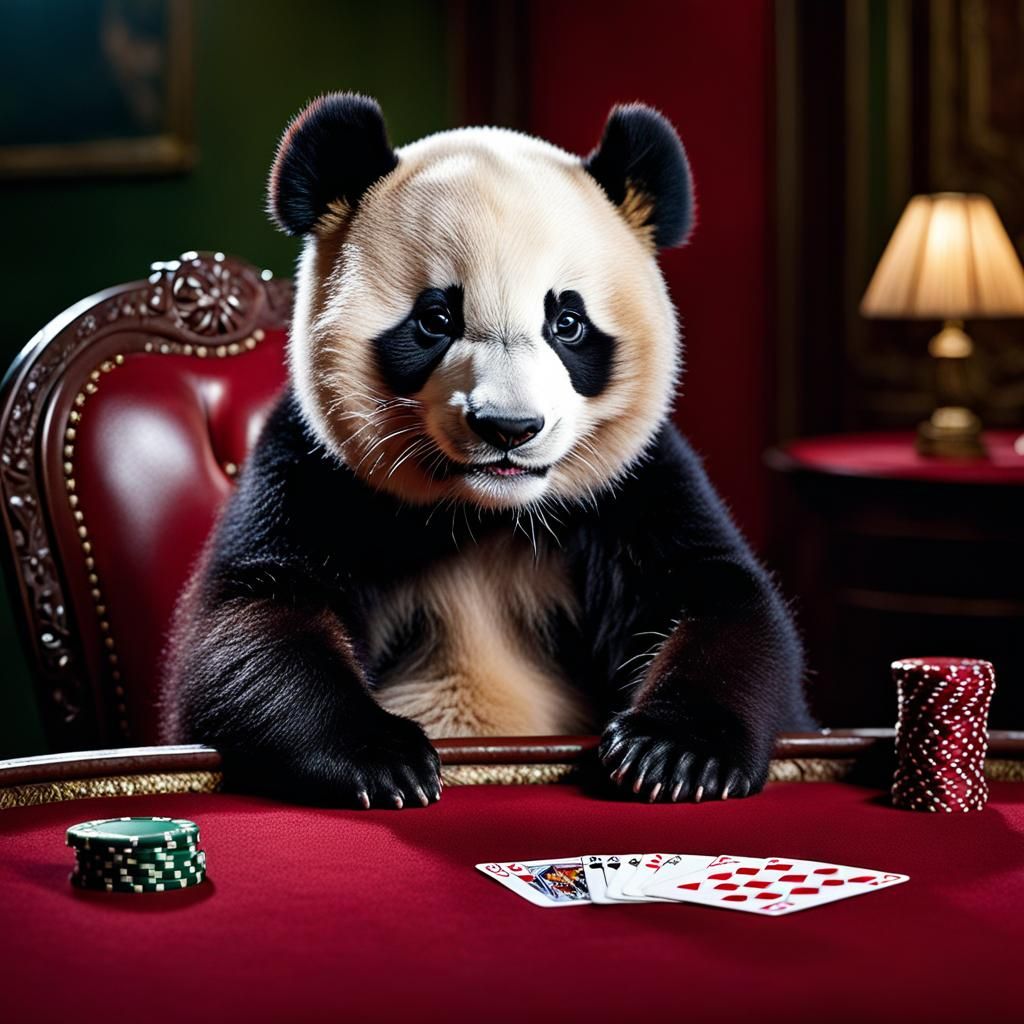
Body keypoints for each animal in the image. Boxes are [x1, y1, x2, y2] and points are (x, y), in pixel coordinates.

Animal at [166, 93, 813, 809]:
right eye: (435, 319)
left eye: (567, 323)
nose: (508, 427)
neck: (484, 514)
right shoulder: (314, 472)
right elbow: (252, 619)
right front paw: (379, 759)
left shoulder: (632, 486)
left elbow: (723, 597)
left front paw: (674, 755)